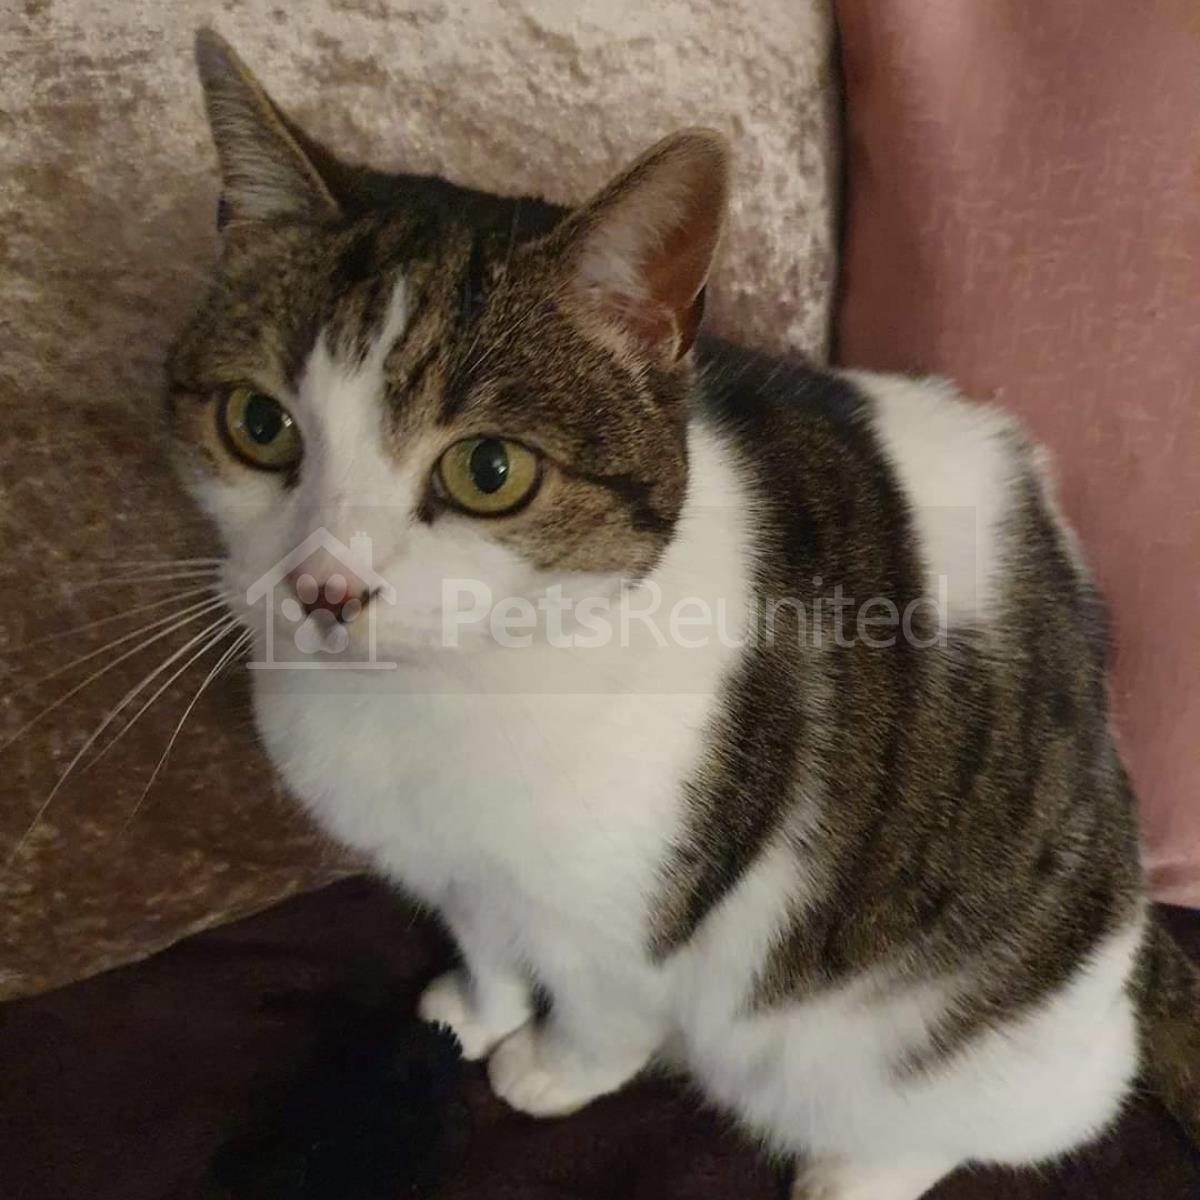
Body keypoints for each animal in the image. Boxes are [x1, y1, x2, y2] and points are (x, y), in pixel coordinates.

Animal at [169, 30, 1200, 1200]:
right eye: (259, 425)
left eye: (489, 471)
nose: (326, 585)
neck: (441, 699)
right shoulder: (470, 879)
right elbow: (488, 946)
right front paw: (473, 1013)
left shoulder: (634, 920)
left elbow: (603, 1013)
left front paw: (549, 1068)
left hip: (925, 1036)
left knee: (1018, 1112)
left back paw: (855, 1170)